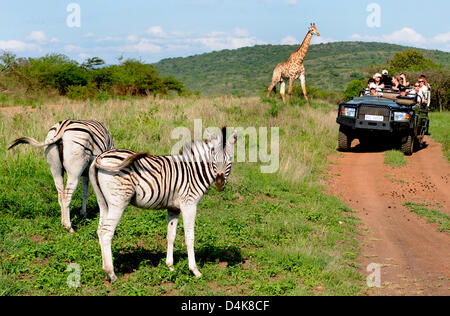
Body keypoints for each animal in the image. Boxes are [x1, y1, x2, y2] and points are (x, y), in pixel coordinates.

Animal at [91, 127, 239, 280]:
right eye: (213, 158)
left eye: (230, 160)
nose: (219, 184)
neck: (193, 172)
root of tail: (101, 156)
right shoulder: (189, 205)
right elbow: (189, 237)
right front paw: (194, 270)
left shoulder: (174, 208)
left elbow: (171, 236)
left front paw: (170, 266)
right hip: (118, 202)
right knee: (106, 232)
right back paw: (112, 273)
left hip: (103, 202)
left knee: (100, 230)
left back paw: (105, 269)